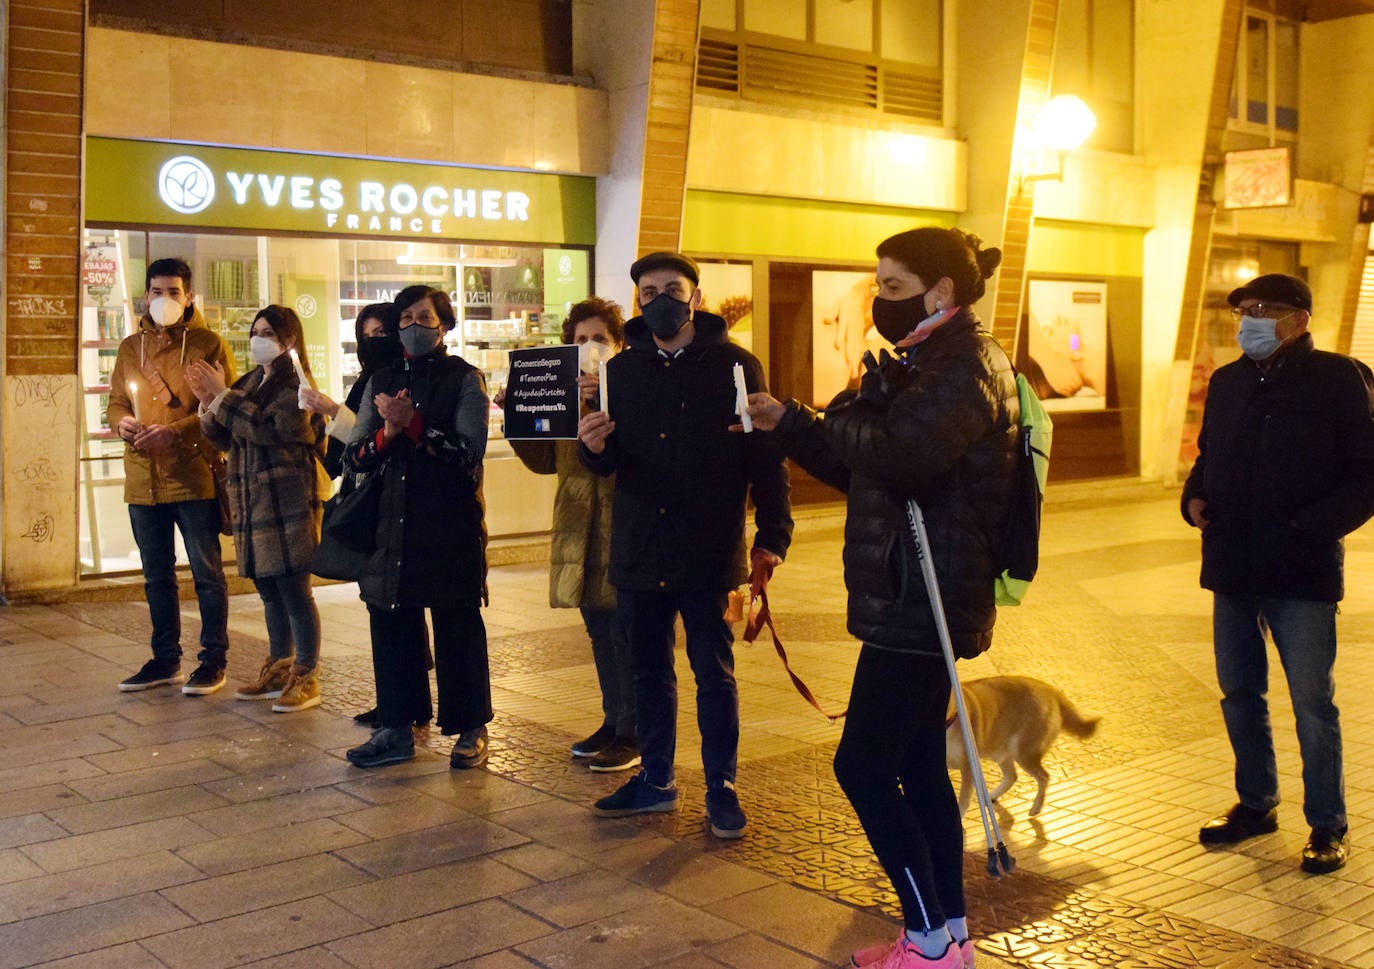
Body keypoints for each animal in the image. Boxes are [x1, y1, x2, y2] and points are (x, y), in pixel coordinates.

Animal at [950, 673, 1099, 813]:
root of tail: (1049, 689)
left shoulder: (968, 768)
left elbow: (963, 802)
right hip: (1001, 752)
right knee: (1012, 776)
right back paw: (994, 796)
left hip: (1023, 754)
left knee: (1043, 777)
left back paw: (1036, 807)